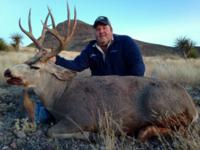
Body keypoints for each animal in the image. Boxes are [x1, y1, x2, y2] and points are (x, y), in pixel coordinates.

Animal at [3, 3, 198, 142]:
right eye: (26, 61)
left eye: (35, 67)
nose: (7, 71)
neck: (58, 96)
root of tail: (191, 105)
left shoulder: (81, 117)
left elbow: (50, 132)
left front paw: (92, 135)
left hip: (161, 106)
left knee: (182, 129)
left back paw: (143, 131)